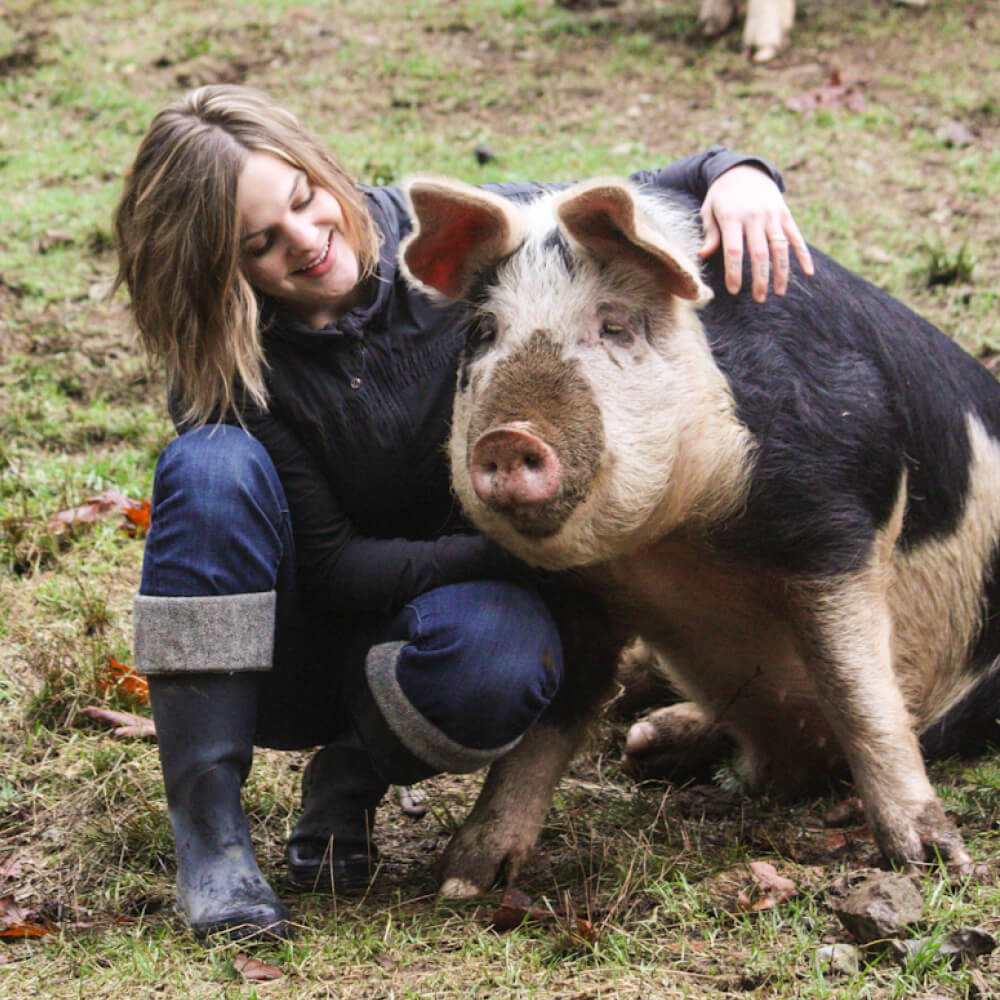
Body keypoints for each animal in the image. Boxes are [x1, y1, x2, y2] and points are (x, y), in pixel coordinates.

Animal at [399, 173, 1000, 896]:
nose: (508, 437)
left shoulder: (836, 517)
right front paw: (463, 880)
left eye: (615, 325)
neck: (668, 548)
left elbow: (856, 690)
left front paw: (936, 864)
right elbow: (548, 721)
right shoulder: (576, 590)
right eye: (485, 331)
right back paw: (646, 744)